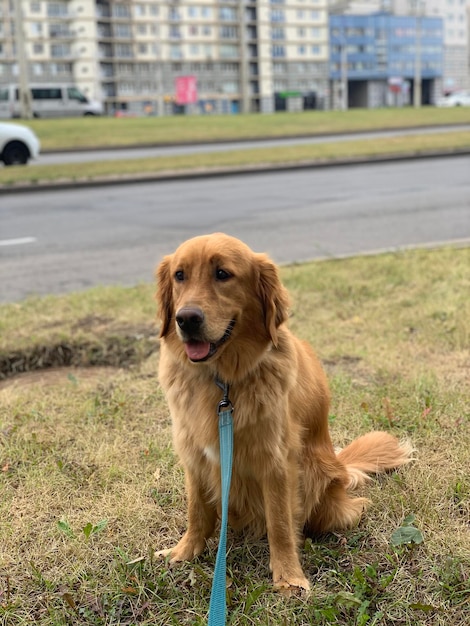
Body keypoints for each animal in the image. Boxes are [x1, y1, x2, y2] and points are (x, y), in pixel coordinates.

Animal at [155, 233, 412, 588]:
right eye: (179, 275)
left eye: (222, 274)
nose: (186, 319)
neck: (224, 384)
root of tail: (341, 466)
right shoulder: (194, 455)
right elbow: (196, 511)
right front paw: (184, 552)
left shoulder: (275, 462)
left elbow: (279, 524)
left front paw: (289, 578)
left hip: (318, 477)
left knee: (349, 510)